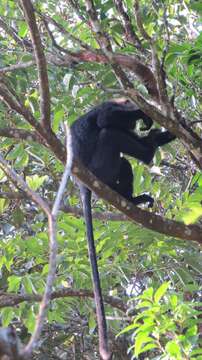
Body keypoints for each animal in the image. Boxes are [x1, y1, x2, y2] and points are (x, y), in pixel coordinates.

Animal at [70, 98, 175, 360]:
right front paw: (143, 113)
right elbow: (105, 120)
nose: (137, 126)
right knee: (109, 135)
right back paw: (146, 155)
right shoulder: (109, 108)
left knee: (124, 157)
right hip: (99, 169)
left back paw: (130, 197)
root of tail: (82, 184)